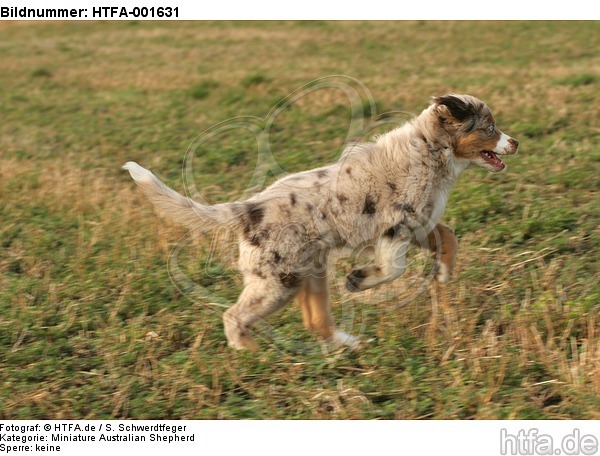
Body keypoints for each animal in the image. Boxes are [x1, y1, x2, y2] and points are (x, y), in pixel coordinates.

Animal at [122, 92, 516, 350]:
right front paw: (359, 280)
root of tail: (249, 207)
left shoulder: (418, 223)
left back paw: (345, 344)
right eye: (490, 127)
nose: (515, 142)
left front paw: (445, 272)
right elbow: (394, 269)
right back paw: (252, 357)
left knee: (314, 320)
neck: (432, 151)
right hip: (277, 282)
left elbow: (449, 236)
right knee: (235, 316)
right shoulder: (395, 228)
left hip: (309, 270)